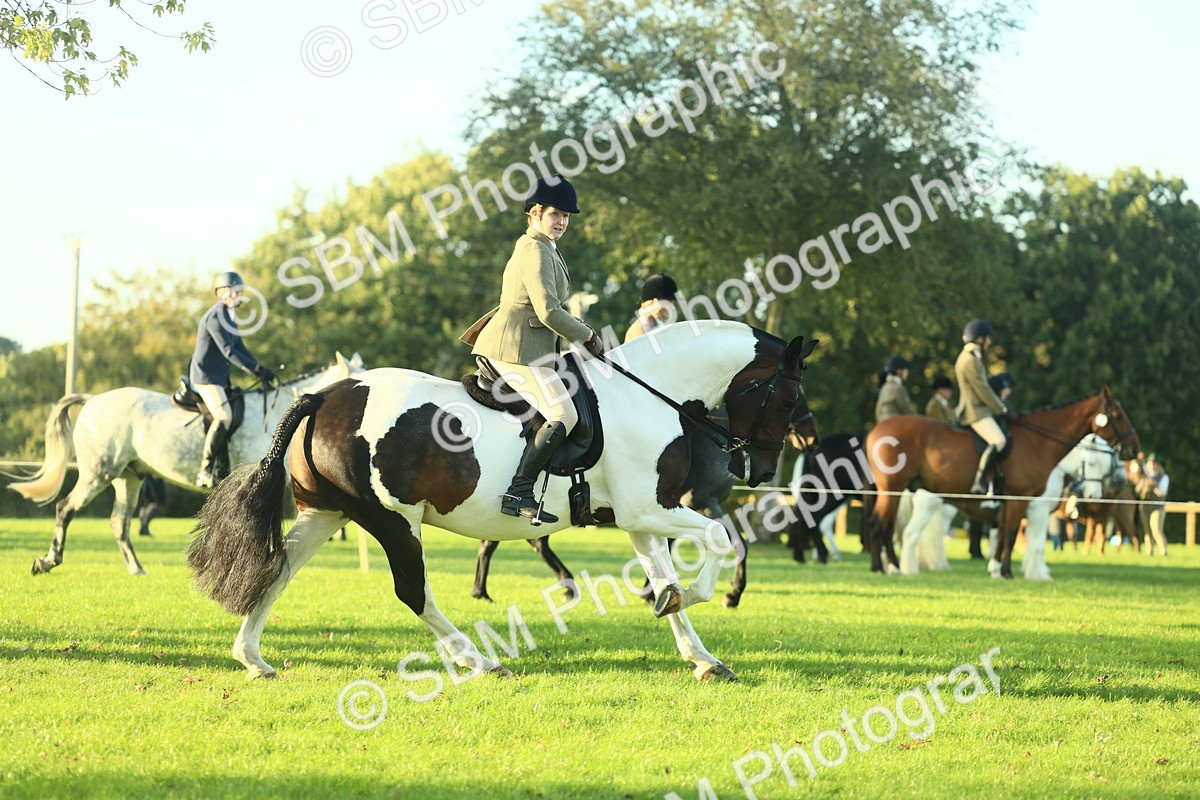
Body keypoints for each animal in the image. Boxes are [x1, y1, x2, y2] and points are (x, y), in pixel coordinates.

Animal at [10, 353, 365, 576]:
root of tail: (93, 400)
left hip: (129, 477)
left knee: (119, 522)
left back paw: (136, 568)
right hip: (98, 474)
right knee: (66, 509)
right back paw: (48, 560)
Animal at [469, 406, 820, 608]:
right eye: (794, 401)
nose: (811, 438)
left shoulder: (696, 504)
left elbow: (737, 542)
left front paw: (731, 593)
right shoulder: (691, 501)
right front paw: (654, 590)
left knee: (514, 540)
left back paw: (485, 589)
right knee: (525, 540)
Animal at [865, 387, 1139, 578]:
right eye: (1117, 415)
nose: (1134, 448)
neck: (1038, 443)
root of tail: (875, 430)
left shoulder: (1011, 502)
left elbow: (1007, 536)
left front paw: (997, 569)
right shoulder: (1026, 503)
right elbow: (1014, 537)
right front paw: (1014, 572)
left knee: (886, 526)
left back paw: (885, 567)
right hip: (896, 491)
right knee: (887, 527)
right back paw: (893, 568)